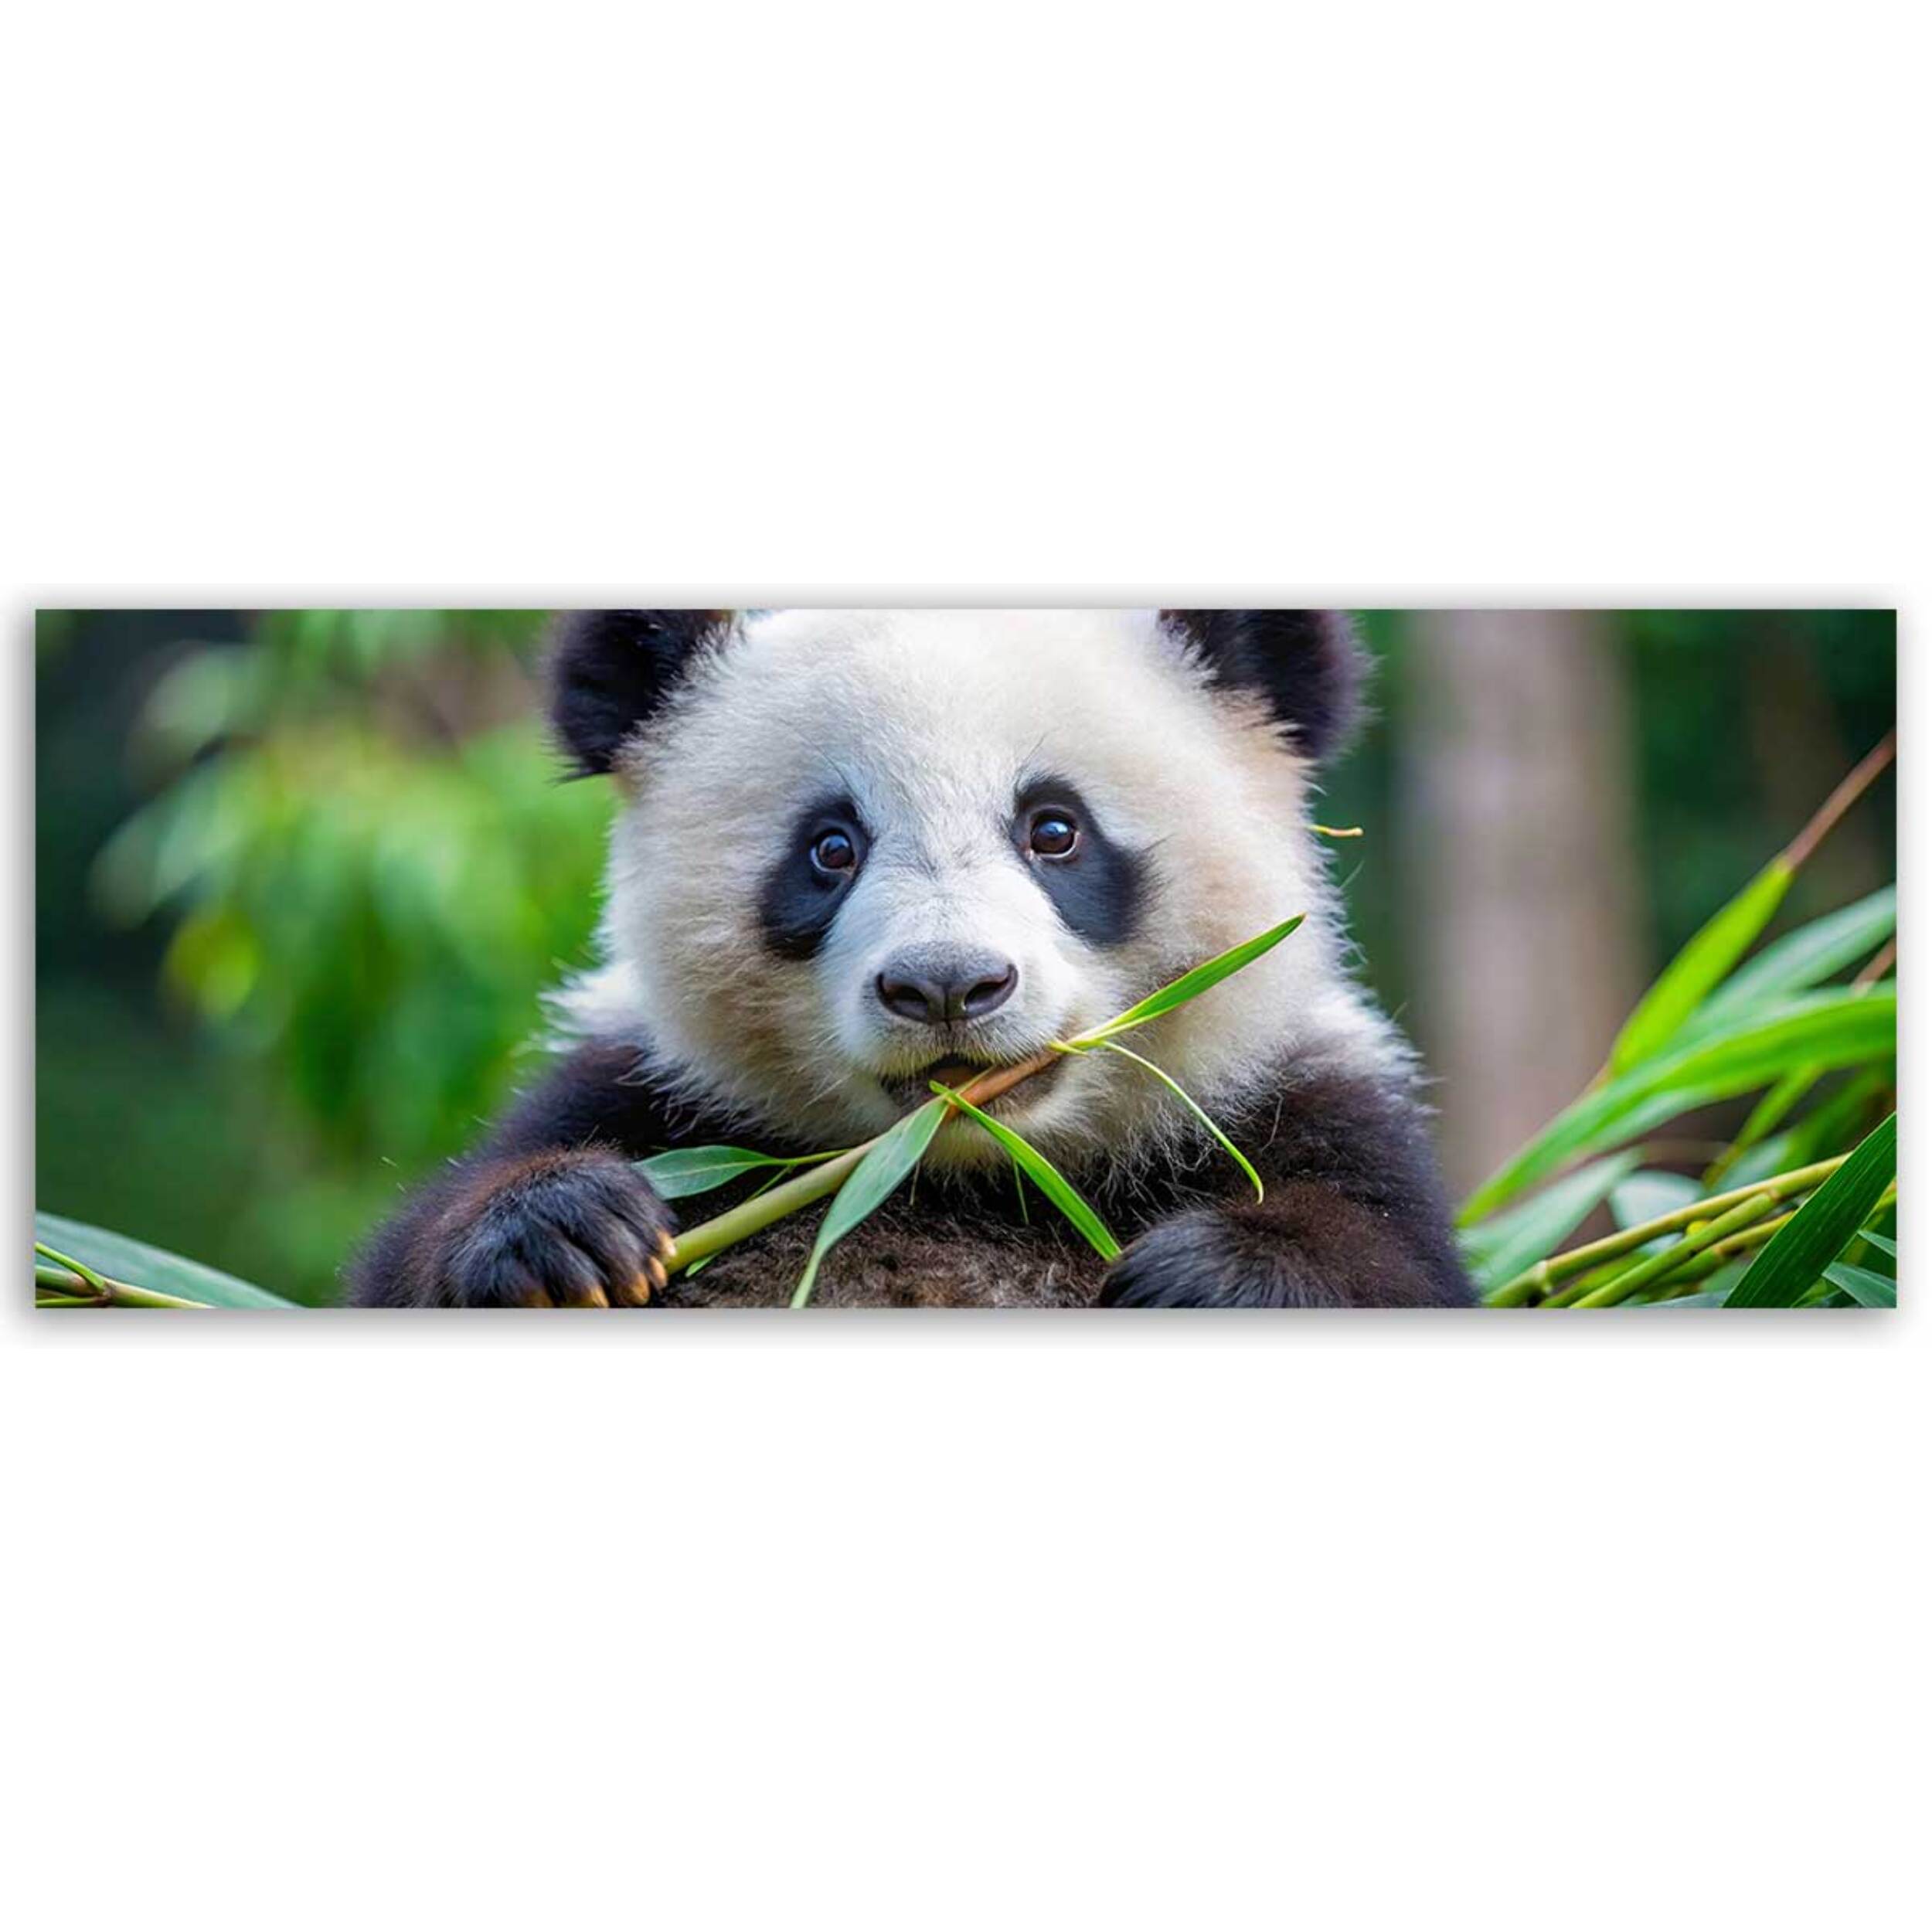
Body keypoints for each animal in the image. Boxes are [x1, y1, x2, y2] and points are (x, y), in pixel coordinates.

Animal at [352, 609, 1472, 1309]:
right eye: (830, 849)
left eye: (1054, 829)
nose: (946, 985)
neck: (964, 1176)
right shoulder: (653, 1094)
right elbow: (414, 1258)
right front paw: (565, 1230)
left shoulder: (1302, 1107)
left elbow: (1385, 1260)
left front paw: (1211, 1275)